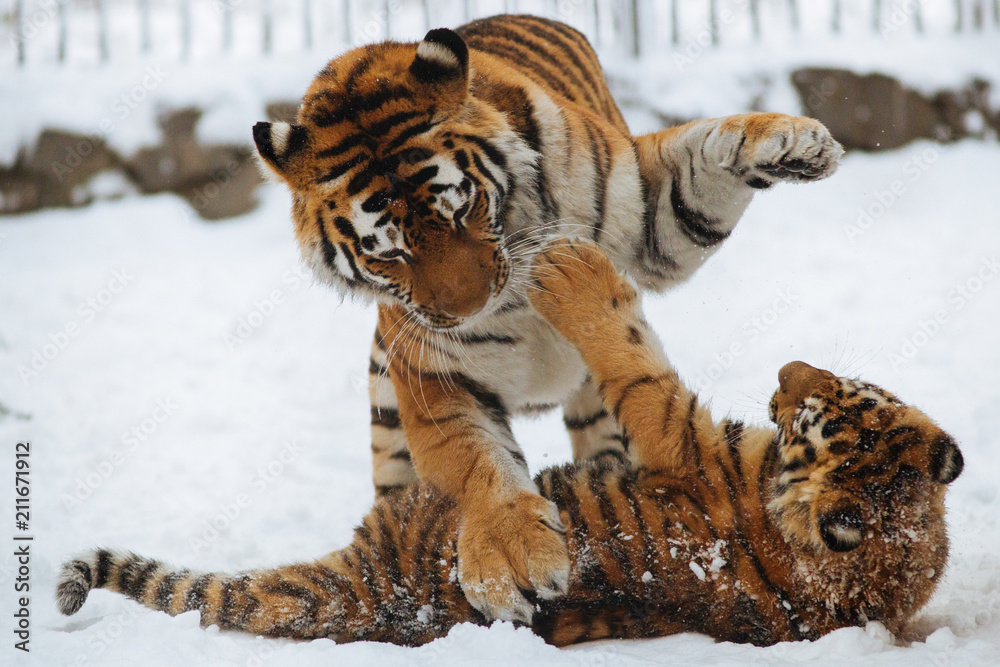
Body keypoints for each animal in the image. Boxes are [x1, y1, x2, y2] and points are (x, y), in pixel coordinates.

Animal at [57, 240, 963, 648]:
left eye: (818, 404)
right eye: (847, 391)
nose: (785, 371)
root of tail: (362, 585)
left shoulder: (682, 432)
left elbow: (636, 365)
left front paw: (571, 270)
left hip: (417, 497)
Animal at [250, 13, 844, 621]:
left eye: (463, 209)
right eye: (389, 253)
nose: (467, 308)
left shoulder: (651, 220)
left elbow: (703, 153)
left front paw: (793, 140)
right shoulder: (433, 376)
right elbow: (472, 461)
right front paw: (512, 557)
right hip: (387, 406)